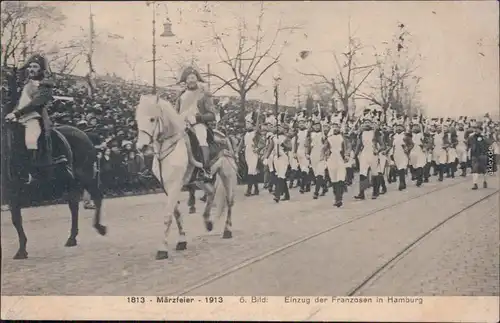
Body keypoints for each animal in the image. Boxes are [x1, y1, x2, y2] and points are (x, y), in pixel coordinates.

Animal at [135, 94, 236, 260]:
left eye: (152, 119)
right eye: (137, 119)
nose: (141, 147)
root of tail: (224, 136)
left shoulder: (175, 185)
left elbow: (168, 216)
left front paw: (162, 249)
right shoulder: (167, 187)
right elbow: (176, 214)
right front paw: (182, 241)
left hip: (227, 176)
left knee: (229, 202)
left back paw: (227, 230)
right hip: (201, 181)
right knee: (211, 193)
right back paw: (207, 221)